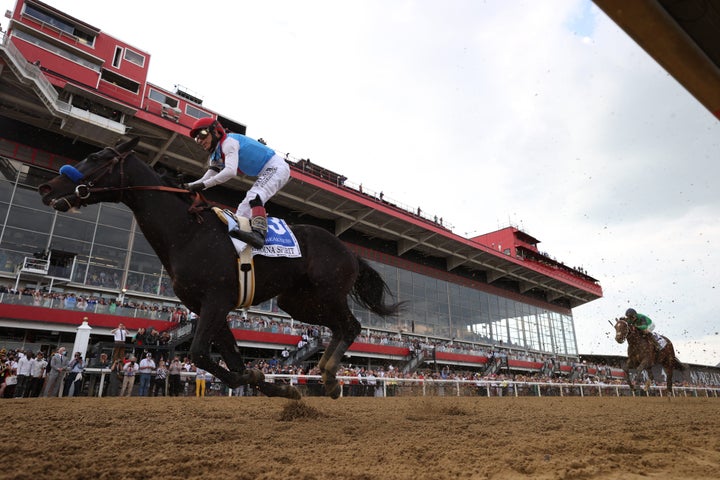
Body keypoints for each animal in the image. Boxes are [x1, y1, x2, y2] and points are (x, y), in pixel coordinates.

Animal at [38, 138, 404, 398]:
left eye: (96, 157)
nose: (46, 188)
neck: (188, 232)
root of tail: (349, 250)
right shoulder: (206, 305)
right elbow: (231, 358)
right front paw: (276, 386)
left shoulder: (216, 300)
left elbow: (201, 354)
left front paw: (264, 380)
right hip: (298, 302)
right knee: (340, 328)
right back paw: (328, 373)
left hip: (328, 291)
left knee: (351, 326)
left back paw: (328, 377)